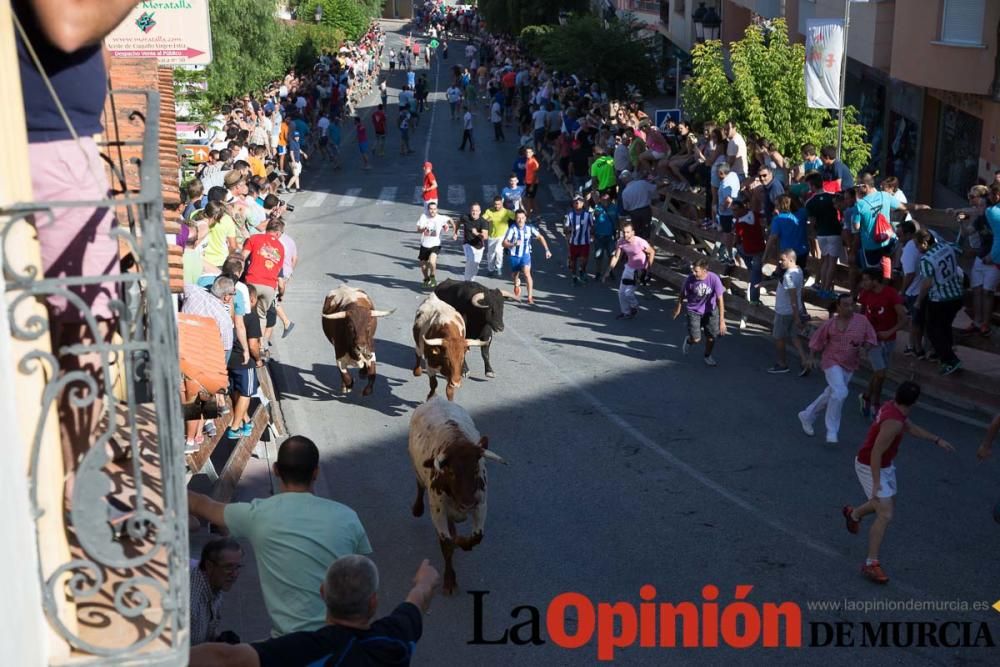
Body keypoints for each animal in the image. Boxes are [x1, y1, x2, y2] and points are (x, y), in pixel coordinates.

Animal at [406, 396, 504, 596]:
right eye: (450, 472)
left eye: (476, 469)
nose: (467, 503)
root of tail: (436, 398)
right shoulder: (438, 512)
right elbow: (447, 544)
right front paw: (449, 579)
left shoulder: (481, 504)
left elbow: (475, 538)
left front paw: (463, 542)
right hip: (417, 470)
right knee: (419, 486)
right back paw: (417, 509)